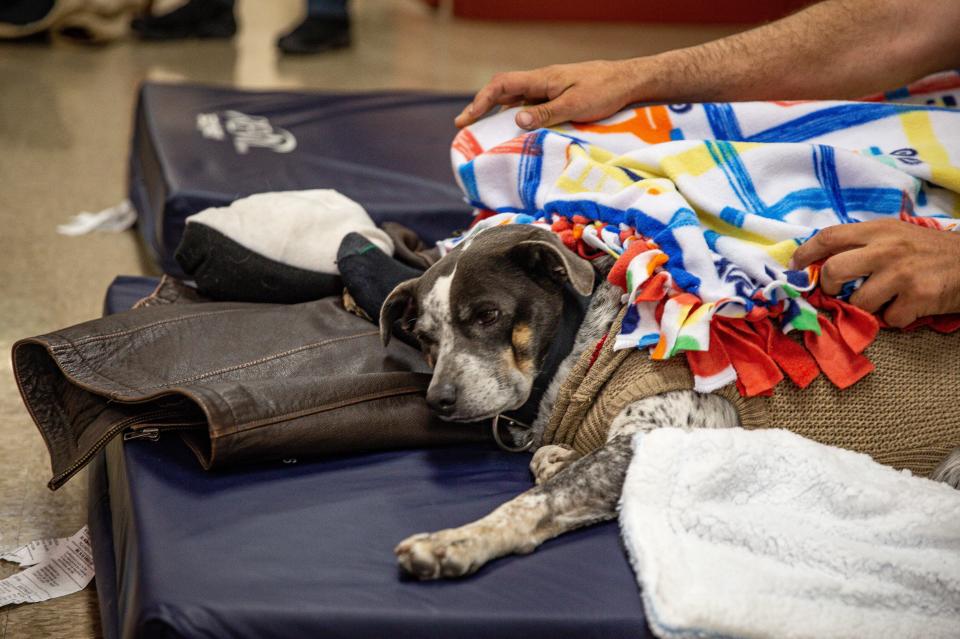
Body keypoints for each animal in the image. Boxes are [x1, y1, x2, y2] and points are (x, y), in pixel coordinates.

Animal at [378, 224, 956, 580]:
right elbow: (554, 469)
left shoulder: (651, 441)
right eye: (424, 337)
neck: (587, 346)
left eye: (487, 315)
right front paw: (557, 457)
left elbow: (534, 501)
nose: (439, 401)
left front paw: (457, 541)